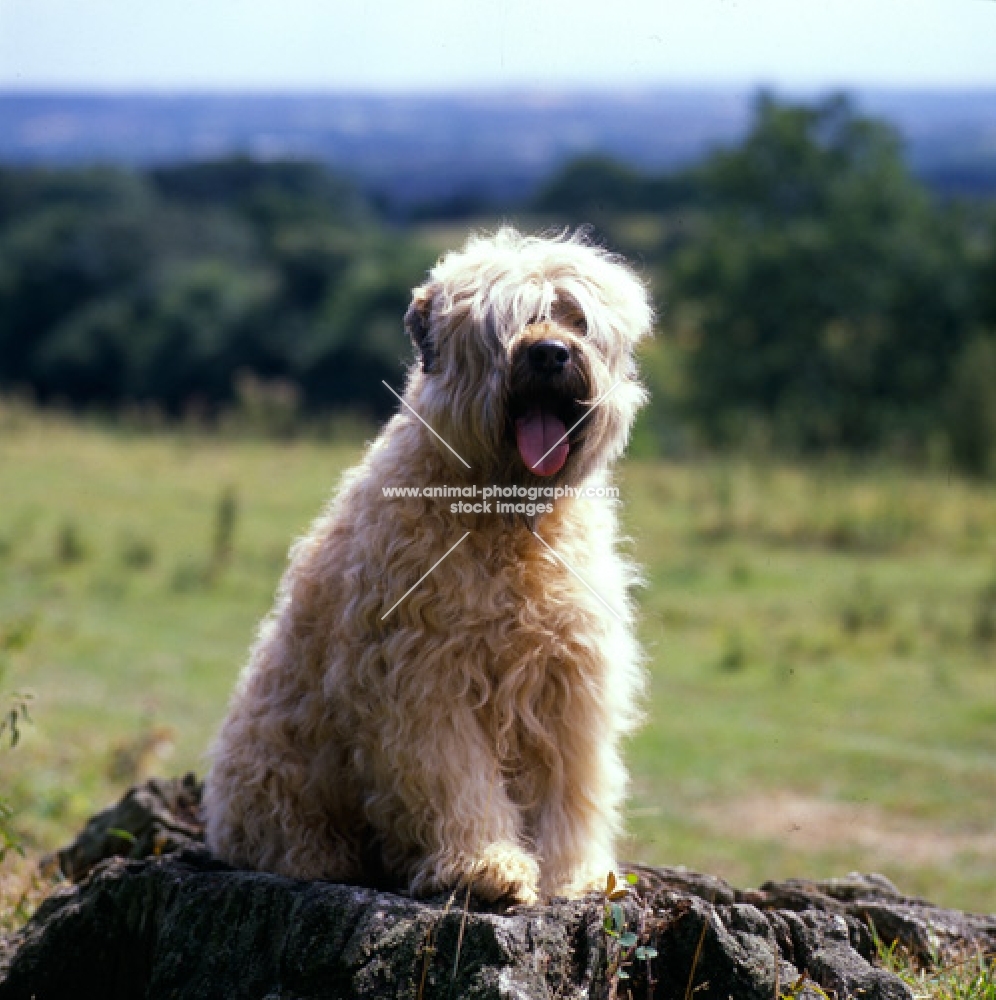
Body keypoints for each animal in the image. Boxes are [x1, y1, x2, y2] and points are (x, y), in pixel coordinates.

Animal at [203, 229, 652, 908]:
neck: (504, 520)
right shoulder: (425, 682)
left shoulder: (568, 685)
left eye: (576, 317)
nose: (550, 353)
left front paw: (574, 876)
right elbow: (454, 780)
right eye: (507, 321)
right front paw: (485, 865)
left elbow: (570, 792)